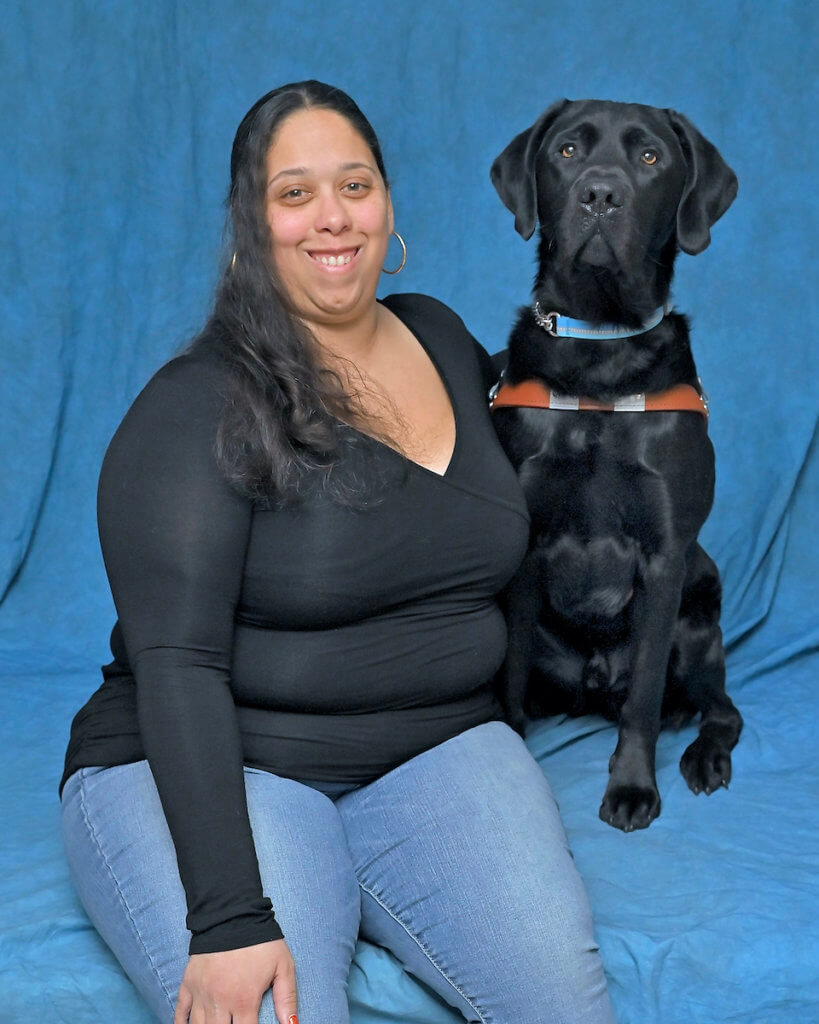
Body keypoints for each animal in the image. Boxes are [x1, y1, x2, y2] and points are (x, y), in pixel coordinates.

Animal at [489, 97, 745, 831]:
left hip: (699, 608)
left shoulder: (664, 556)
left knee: (721, 710)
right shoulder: (525, 547)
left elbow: (643, 702)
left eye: (651, 157)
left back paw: (703, 756)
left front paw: (632, 787)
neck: (600, 351)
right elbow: (509, 675)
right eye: (567, 151)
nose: (600, 196)